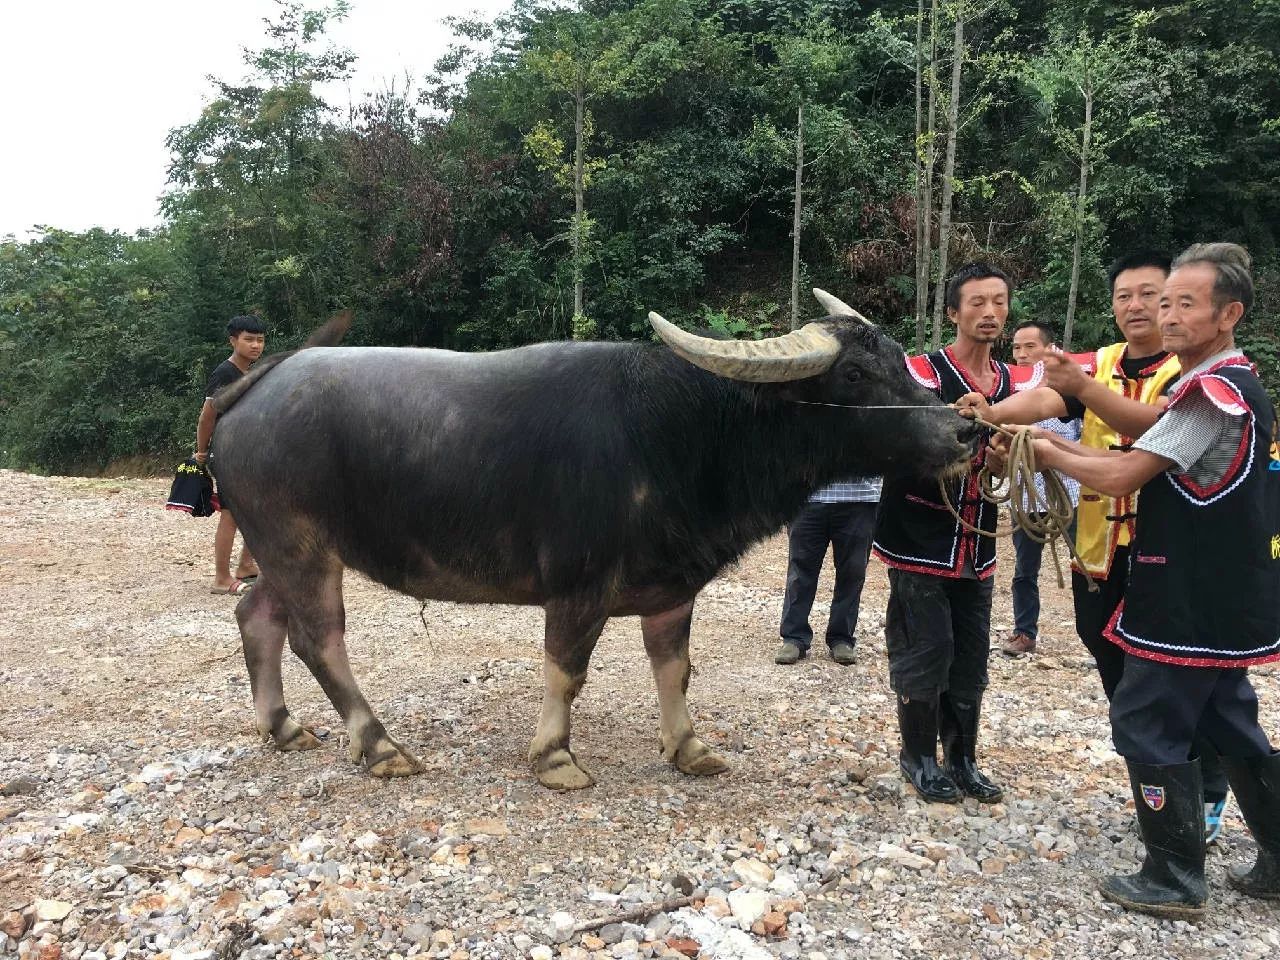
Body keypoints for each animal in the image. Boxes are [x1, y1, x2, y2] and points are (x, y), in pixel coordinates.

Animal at [215, 293, 972, 788]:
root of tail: (254, 389)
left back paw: (281, 726)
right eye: (854, 374)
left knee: (256, 616)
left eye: (901, 359)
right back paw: (379, 747)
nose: (965, 429)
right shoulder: (577, 585)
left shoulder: (672, 584)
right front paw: (555, 756)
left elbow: (674, 668)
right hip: (300, 546)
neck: (676, 433)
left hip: (280, 551)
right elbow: (566, 668)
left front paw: (689, 747)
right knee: (319, 641)